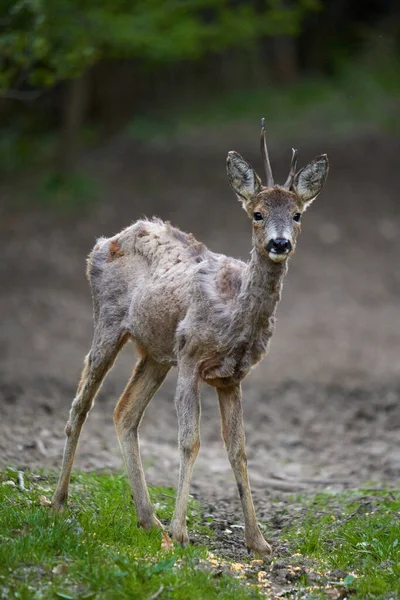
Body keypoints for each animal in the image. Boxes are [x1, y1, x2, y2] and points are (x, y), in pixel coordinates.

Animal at [52, 119, 328, 556]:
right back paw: (61, 503)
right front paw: (182, 534)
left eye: (298, 213)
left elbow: (239, 449)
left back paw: (149, 521)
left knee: (124, 413)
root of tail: (104, 241)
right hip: (110, 322)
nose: (279, 243)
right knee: (81, 403)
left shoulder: (232, 377)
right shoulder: (190, 356)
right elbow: (190, 441)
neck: (233, 317)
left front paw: (258, 541)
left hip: (155, 353)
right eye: (257, 213)